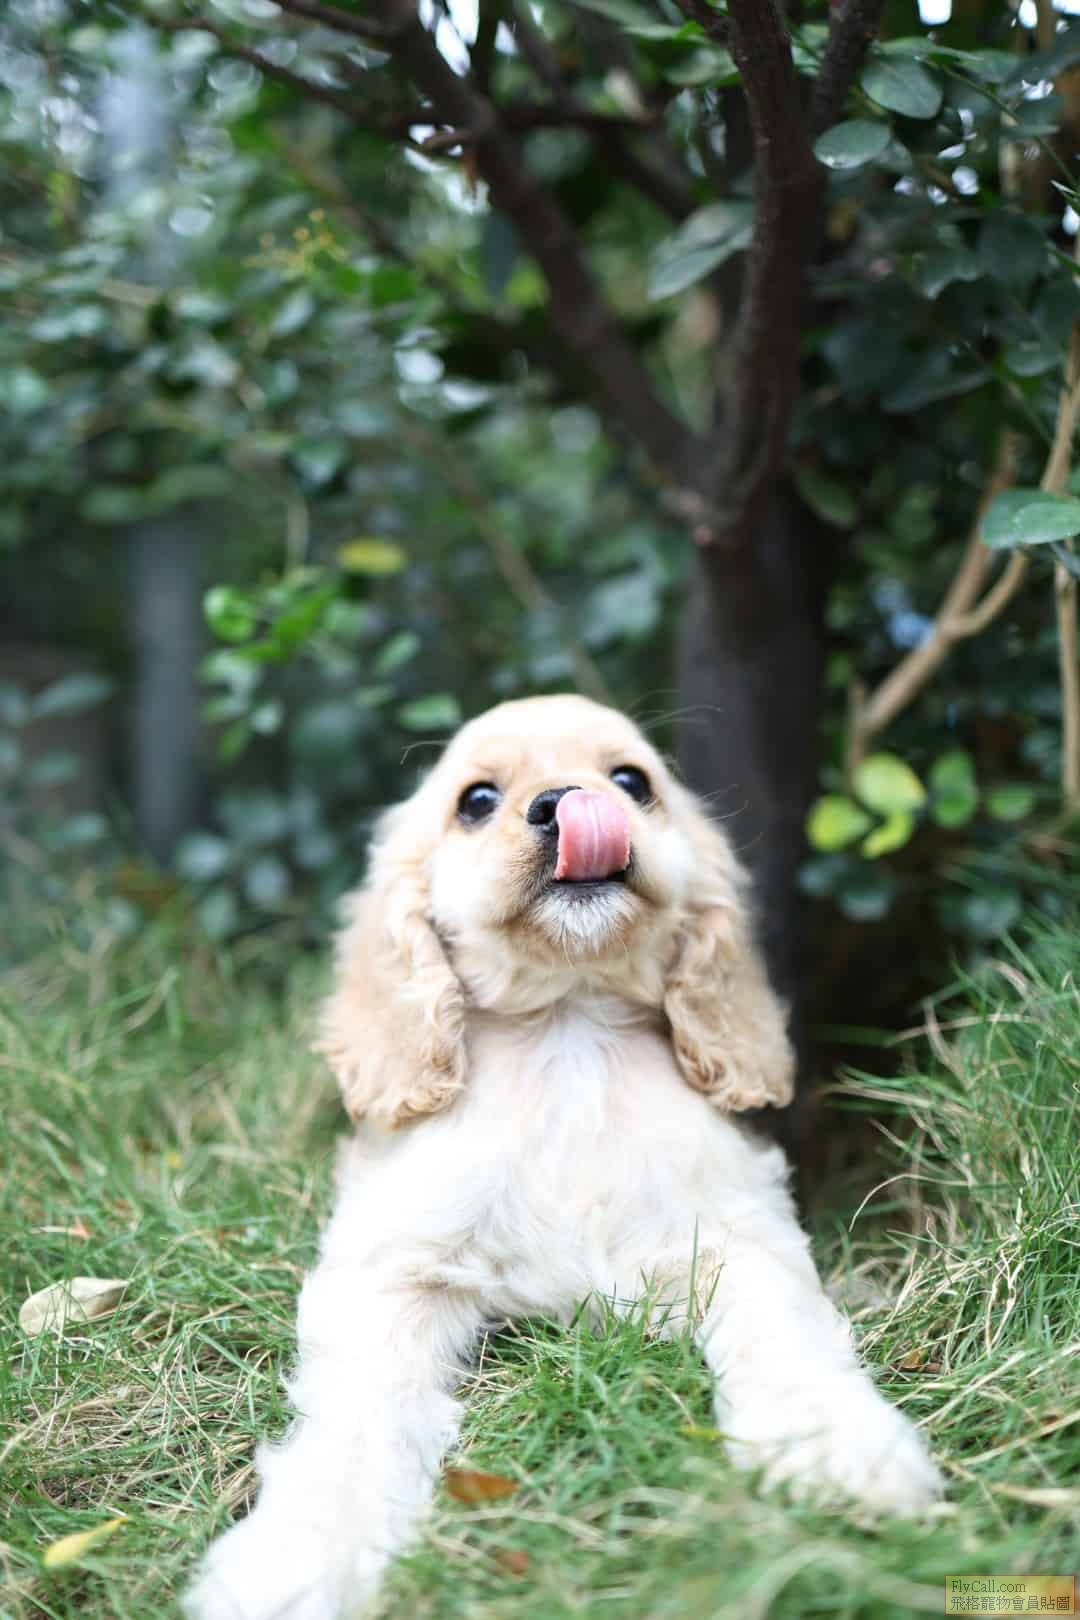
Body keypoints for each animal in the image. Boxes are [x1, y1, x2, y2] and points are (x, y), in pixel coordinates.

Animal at [186, 694, 941, 1620]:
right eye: (477, 800)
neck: (569, 1034)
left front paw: (840, 1452)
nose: (568, 805)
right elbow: (362, 1413)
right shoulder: (393, 1271)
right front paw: (298, 1558)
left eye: (632, 781)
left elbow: (787, 1334)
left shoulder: (738, 1237)